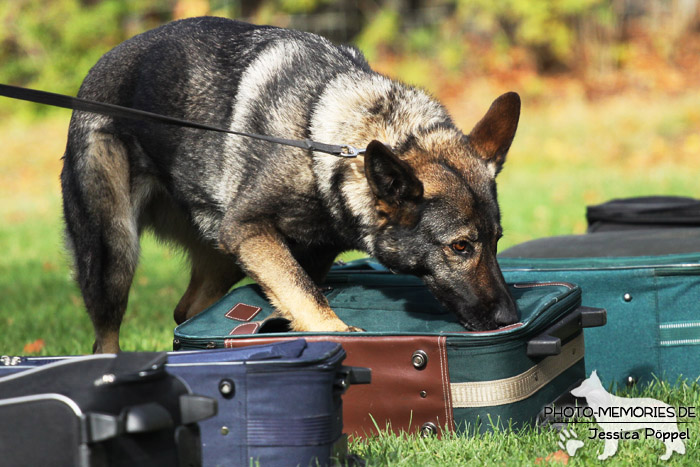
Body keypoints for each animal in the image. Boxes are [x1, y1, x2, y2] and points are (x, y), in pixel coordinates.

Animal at [61, 16, 520, 352]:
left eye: (496, 240)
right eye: (460, 246)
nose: (509, 319)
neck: (327, 142)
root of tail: (96, 68)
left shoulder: (298, 252)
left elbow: (303, 291)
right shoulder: (248, 229)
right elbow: (305, 294)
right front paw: (336, 331)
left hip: (225, 255)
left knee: (186, 309)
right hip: (117, 254)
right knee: (106, 339)